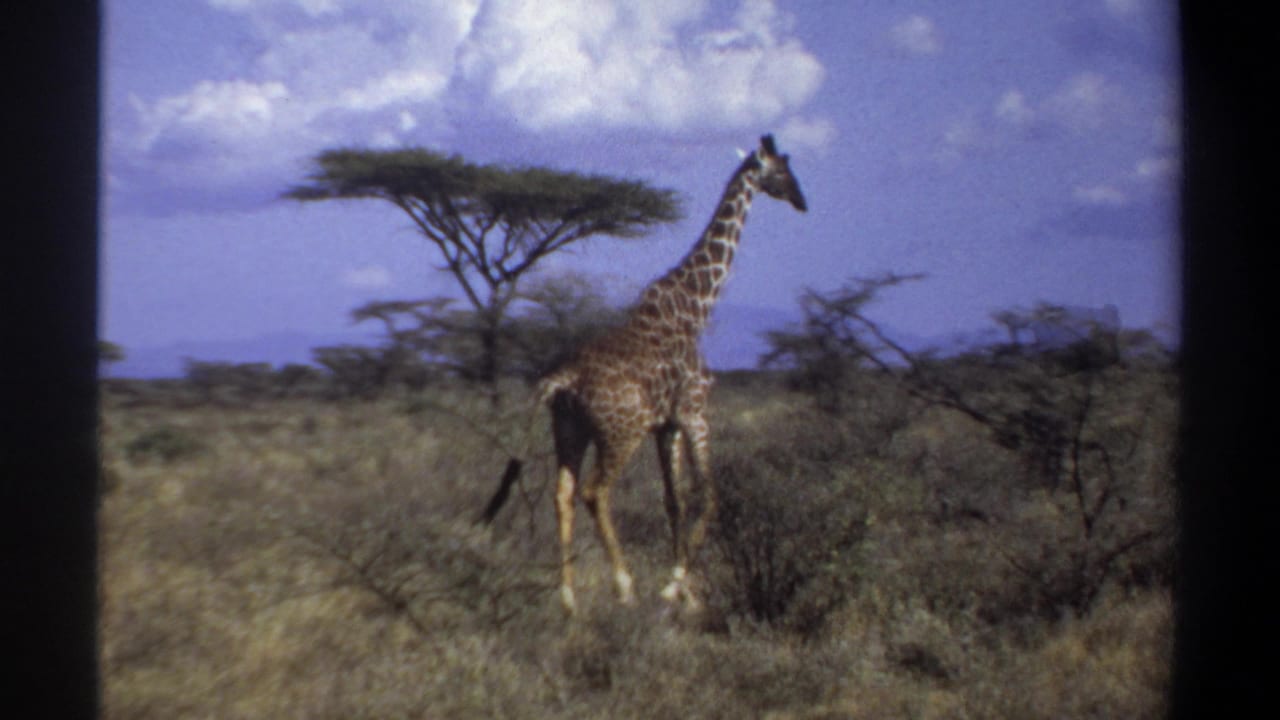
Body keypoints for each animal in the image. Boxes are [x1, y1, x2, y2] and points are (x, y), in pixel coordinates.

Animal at [534, 134, 806, 614]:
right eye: (782, 169)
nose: (802, 200)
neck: (696, 306)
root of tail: (560, 382)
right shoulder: (695, 412)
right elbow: (710, 496)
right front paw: (674, 586)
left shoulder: (666, 425)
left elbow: (674, 500)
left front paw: (688, 594)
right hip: (619, 433)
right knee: (595, 492)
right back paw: (624, 585)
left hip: (569, 429)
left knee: (563, 494)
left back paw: (568, 598)